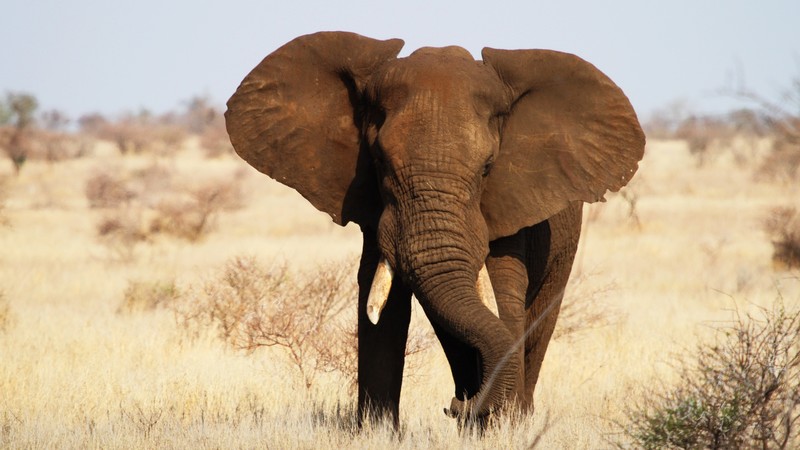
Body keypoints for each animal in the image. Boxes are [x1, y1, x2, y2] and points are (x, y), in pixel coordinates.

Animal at [225, 31, 645, 428]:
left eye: (488, 167)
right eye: (379, 162)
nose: (456, 405)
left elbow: (503, 296)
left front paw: (498, 429)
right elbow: (381, 301)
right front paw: (379, 432)